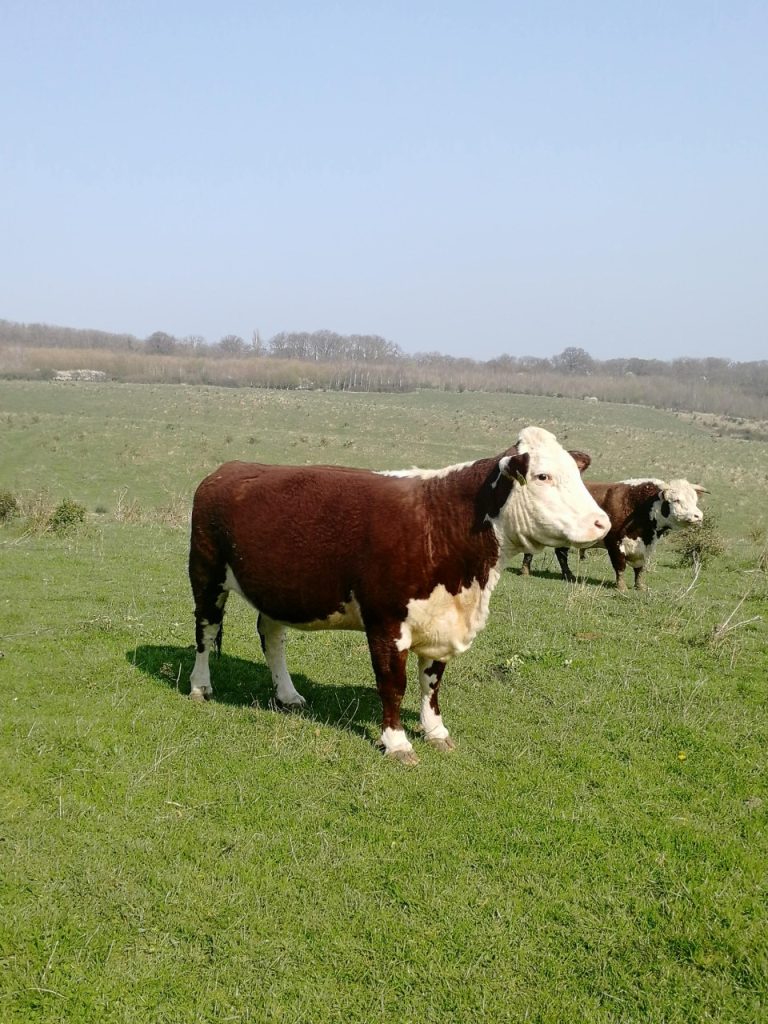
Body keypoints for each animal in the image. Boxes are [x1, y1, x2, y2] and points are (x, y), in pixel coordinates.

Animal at [188, 426, 610, 764]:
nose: (601, 522)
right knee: (205, 633)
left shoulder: (441, 621)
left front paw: (435, 731)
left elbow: (432, 682)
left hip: (278, 590)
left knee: (272, 636)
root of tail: (228, 469)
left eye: (577, 474)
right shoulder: (386, 623)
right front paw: (396, 743)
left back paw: (288, 694)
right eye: (543, 476)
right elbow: (393, 685)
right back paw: (200, 686)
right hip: (206, 574)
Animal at [520, 478, 706, 590]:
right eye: (676, 500)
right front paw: (621, 587)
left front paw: (640, 587)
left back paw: (569, 576)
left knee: (561, 554)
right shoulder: (615, 543)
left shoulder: (644, 547)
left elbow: (640, 569)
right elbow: (620, 566)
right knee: (530, 551)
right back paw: (525, 571)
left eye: (695, 500)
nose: (698, 516)